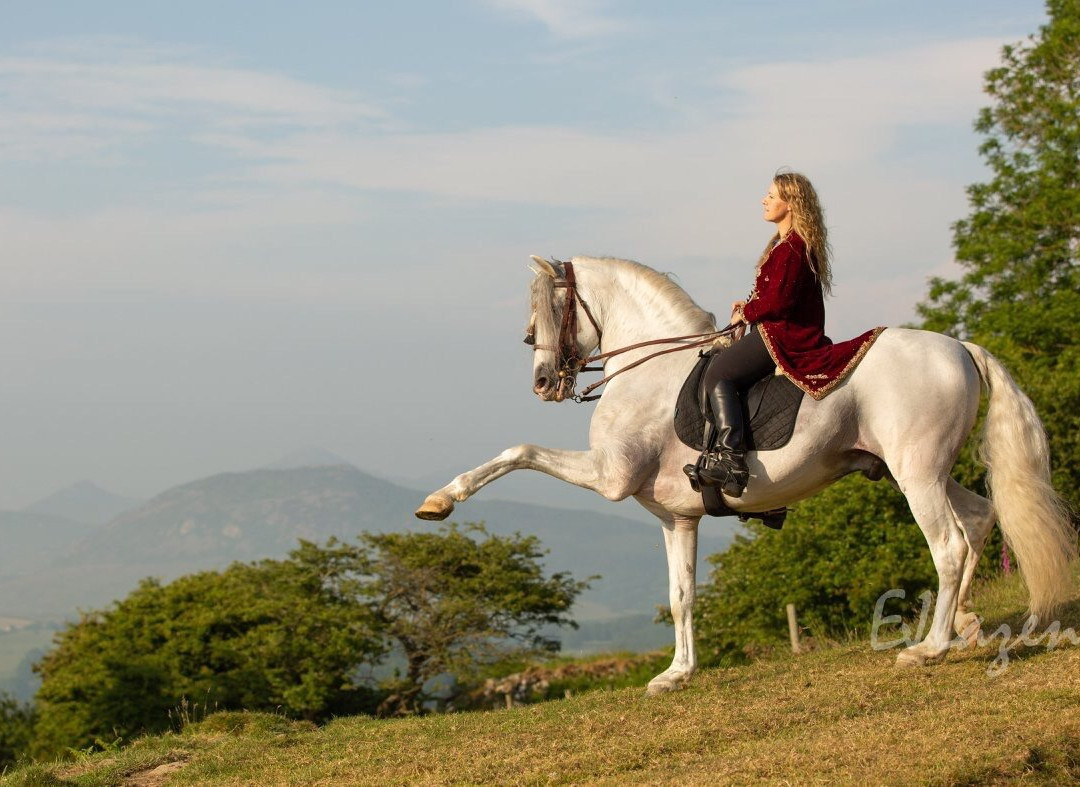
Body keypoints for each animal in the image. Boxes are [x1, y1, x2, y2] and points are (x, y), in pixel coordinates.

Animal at [412, 254, 1071, 690]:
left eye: (551, 305)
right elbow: (681, 596)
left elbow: (517, 450)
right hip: (915, 471)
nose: (544, 382)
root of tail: (959, 347)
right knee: (980, 518)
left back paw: (930, 649)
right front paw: (677, 674)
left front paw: (440, 500)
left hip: (916, 475)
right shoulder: (676, 518)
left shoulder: (607, 476)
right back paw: (965, 625)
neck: (646, 366)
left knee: (950, 545)